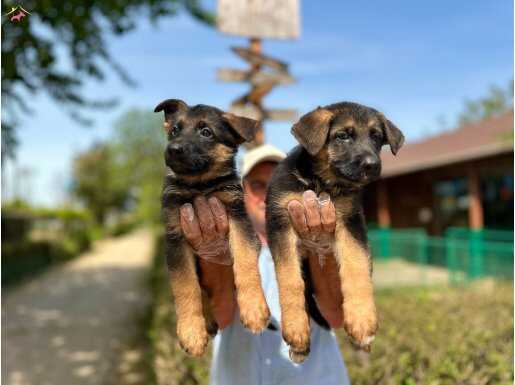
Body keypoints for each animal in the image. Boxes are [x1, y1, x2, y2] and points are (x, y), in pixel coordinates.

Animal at [155, 98, 272, 354]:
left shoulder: (240, 222)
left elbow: (246, 263)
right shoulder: (176, 240)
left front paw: (253, 307)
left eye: (206, 132)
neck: (200, 186)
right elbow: (186, 286)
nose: (173, 149)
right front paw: (191, 331)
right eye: (174, 130)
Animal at [268, 100, 406, 362]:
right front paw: (295, 328)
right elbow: (289, 279)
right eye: (343, 136)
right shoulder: (280, 223)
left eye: (376, 137)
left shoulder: (351, 222)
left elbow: (356, 267)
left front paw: (362, 321)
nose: (372, 165)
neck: (321, 184)